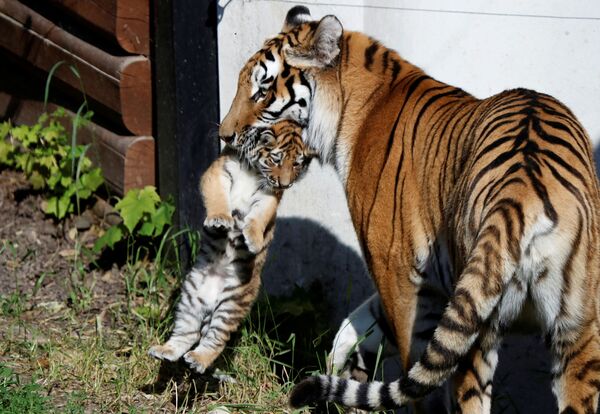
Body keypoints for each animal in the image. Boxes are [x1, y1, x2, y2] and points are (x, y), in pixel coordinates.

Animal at [219, 6, 600, 414]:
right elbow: (356, 324)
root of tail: (520, 191)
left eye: (262, 91)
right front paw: (341, 370)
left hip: (480, 321)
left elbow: (414, 366)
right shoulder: (434, 286)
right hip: (576, 325)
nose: (224, 136)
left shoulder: (397, 273)